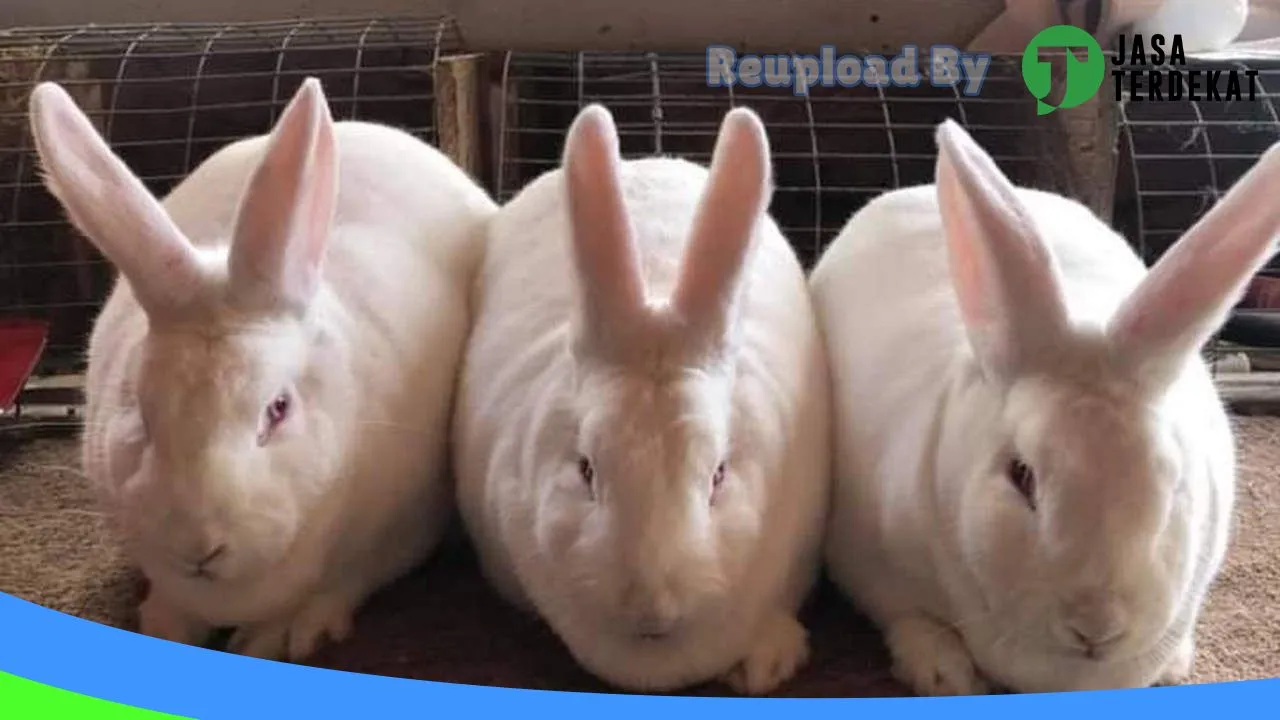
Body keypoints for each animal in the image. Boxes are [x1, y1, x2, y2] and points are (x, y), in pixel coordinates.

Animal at [28, 77, 497, 661]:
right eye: (139, 407)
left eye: (278, 408)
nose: (198, 546)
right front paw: (164, 623)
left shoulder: (399, 531)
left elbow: (343, 582)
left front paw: (280, 636)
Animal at [810, 118, 1280, 695]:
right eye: (1021, 477)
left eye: (1173, 483)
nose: (1096, 627)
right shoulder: (868, 564)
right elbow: (907, 616)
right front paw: (945, 674)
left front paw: (1174, 665)